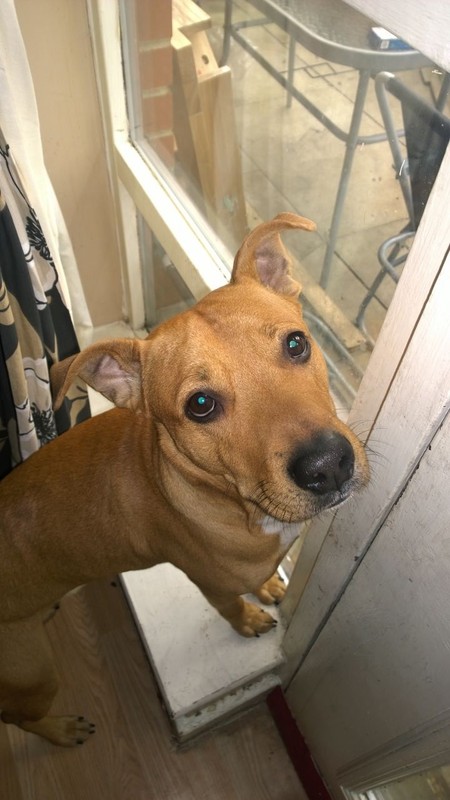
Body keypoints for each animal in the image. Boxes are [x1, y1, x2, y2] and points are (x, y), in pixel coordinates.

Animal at [0, 211, 370, 744]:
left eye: (296, 343)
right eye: (200, 404)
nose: (328, 464)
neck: (237, 505)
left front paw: (267, 588)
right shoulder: (210, 582)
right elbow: (231, 607)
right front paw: (250, 618)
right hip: (31, 672)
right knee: (20, 717)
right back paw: (62, 729)